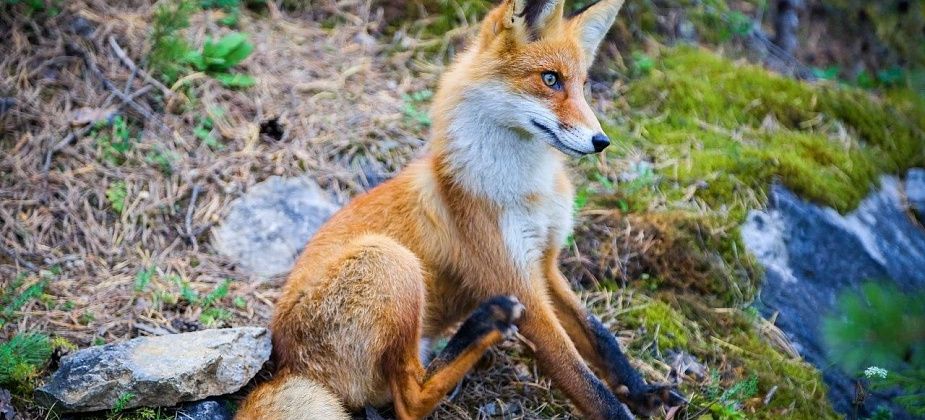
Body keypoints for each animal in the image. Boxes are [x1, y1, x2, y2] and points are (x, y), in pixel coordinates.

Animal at [236, 0, 687, 418]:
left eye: (583, 85)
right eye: (550, 79)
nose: (601, 141)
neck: (528, 190)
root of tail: (284, 366)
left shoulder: (543, 264)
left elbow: (601, 338)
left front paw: (644, 392)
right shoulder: (516, 279)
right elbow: (585, 381)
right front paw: (623, 404)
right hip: (391, 261)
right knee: (411, 401)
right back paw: (487, 322)